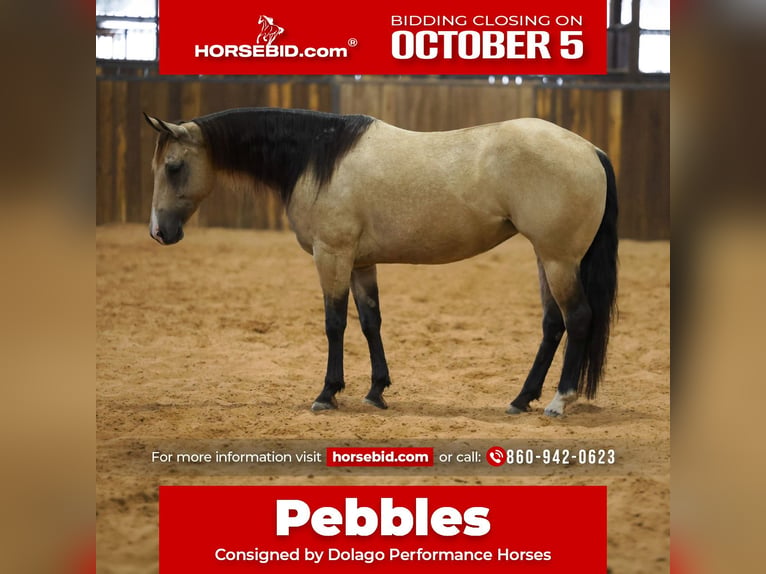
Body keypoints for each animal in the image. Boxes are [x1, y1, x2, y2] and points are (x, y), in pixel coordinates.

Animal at [144, 107, 617, 417]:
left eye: (173, 166)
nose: (159, 232)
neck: (318, 159)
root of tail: (591, 149)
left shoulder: (331, 255)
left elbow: (335, 323)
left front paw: (327, 393)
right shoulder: (359, 263)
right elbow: (371, 321)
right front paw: (376, 391)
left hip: (558, 260)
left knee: (577, 318)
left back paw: (559, 400)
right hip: (545, 258)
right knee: (553, 324)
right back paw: (521, 399)